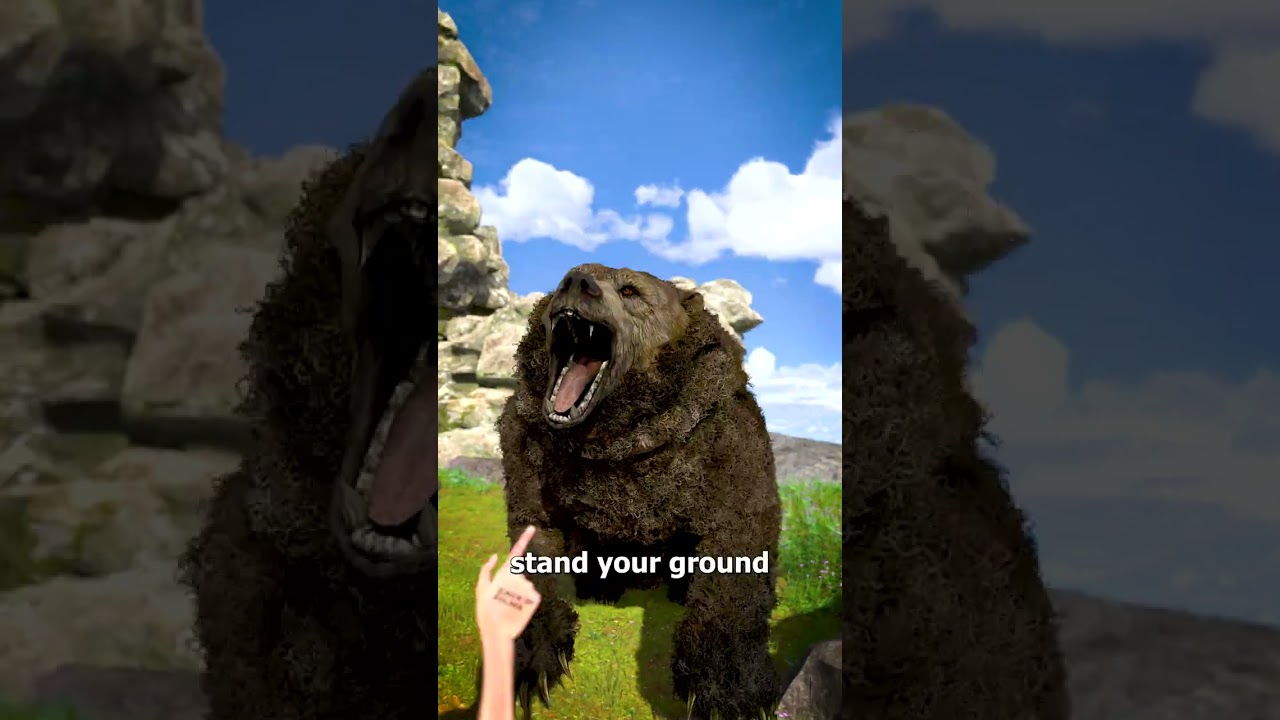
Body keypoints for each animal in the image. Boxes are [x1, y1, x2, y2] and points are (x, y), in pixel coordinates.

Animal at [497, 264, 782, 719]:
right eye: (562, 281)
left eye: (630, 290)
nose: (576, 281)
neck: (614, 441)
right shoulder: (526, 444)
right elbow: (534, 536)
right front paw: (533, 663)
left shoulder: (726, 438)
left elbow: (737, 552)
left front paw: (729, 691)